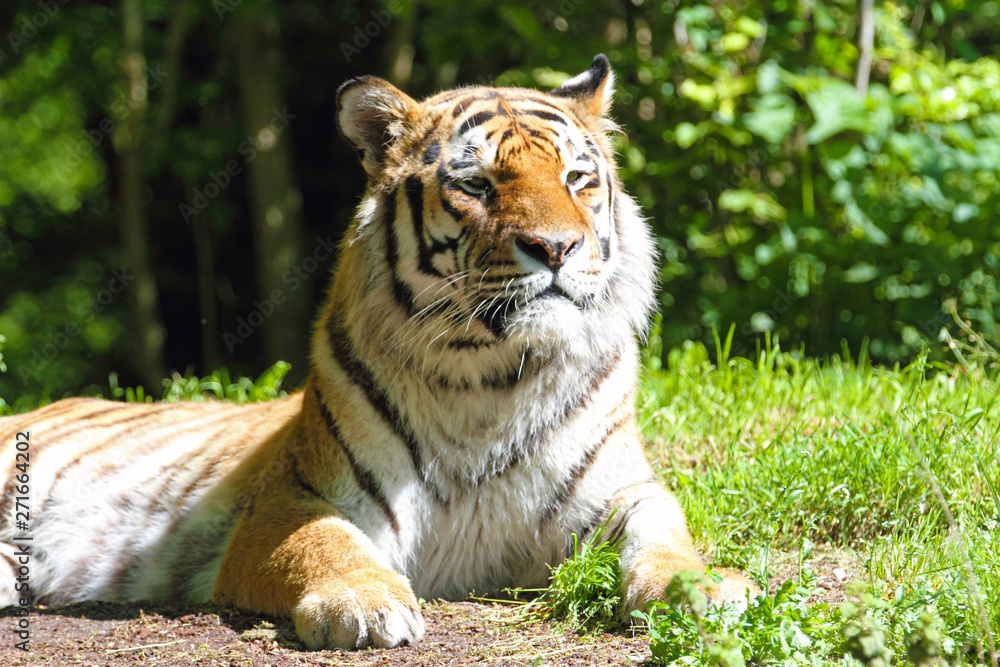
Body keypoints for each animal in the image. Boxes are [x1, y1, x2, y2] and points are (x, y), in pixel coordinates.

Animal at [0, 55, 755, 650]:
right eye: (476, 185)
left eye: (576, 178)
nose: (557, 248)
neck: (489, 375)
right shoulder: (293, 498)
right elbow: (324, 543)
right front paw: (364, 602)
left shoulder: (621, 491)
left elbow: (667, 531)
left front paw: (707, 588)